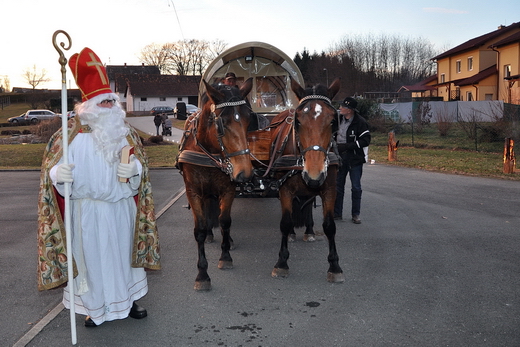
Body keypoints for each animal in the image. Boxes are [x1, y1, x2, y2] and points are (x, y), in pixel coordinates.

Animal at [177, 79, 254, 290]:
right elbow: (200, 229)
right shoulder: (193, 191)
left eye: (248, 119)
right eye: (222, 123)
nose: (244, 172)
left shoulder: (228, 189)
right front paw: (202, 274)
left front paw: (225, 256)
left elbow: (225, 221)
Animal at [268, 77, 346, 284]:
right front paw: (282, 262)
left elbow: (330, 226)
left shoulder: (329, 189)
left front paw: (334, 266)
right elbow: (286, 222)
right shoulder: (284, 189)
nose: (313, 173)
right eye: (298, 121)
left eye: (333, 120)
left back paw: (309, 230)